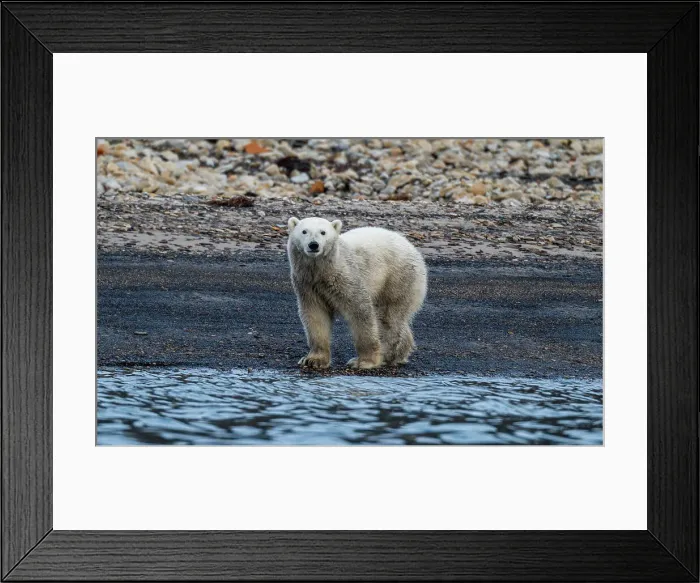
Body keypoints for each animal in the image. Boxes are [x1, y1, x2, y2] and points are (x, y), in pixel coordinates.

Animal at [287, 216, 427, 369]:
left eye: (323, 232)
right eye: (304, 231)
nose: (314, 245)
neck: (322, 271)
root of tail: (412, 248)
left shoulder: (346, 277)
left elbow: (360, 311)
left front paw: (364, 361)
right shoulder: (308, 285)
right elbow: (315, 315)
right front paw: (313, 360)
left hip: (397, 278)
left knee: (388, 317)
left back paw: (386, 354)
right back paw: (398, 354)